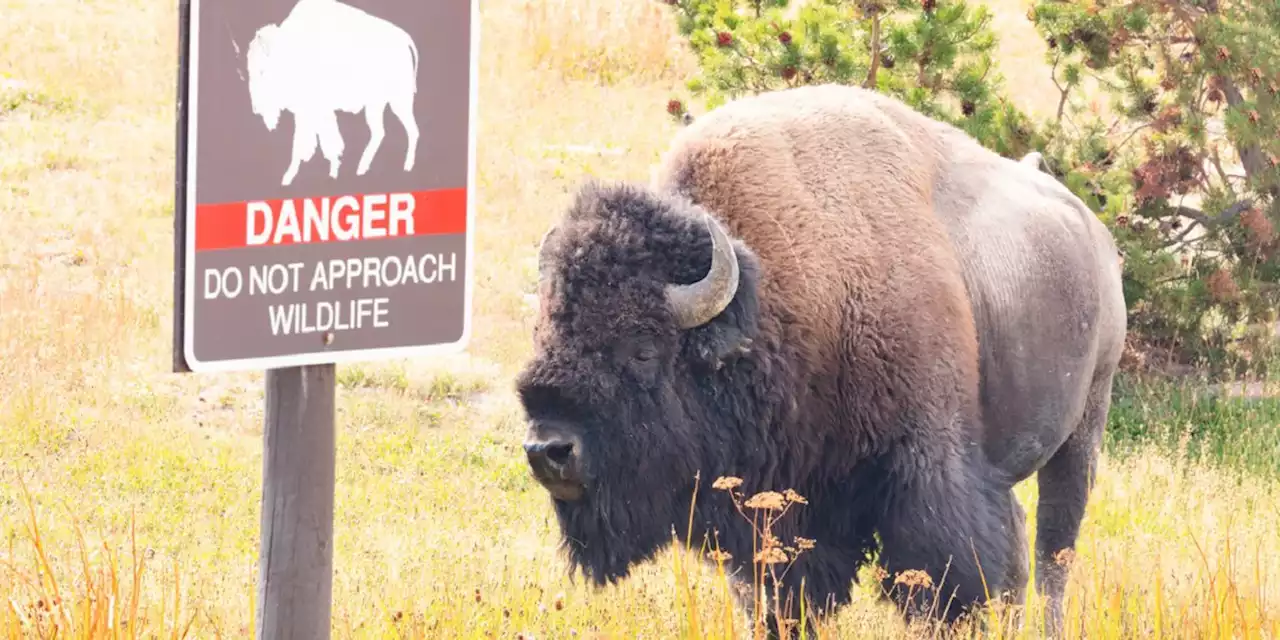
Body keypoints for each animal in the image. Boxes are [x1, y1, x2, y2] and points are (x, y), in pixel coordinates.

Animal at [514, 83, 1126, 634]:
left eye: (643, 349)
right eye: (545, 334)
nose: (549, 450)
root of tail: (1093, 234)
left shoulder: (927, 471)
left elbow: (948, 579)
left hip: (1083, 429)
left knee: (1053, 550)